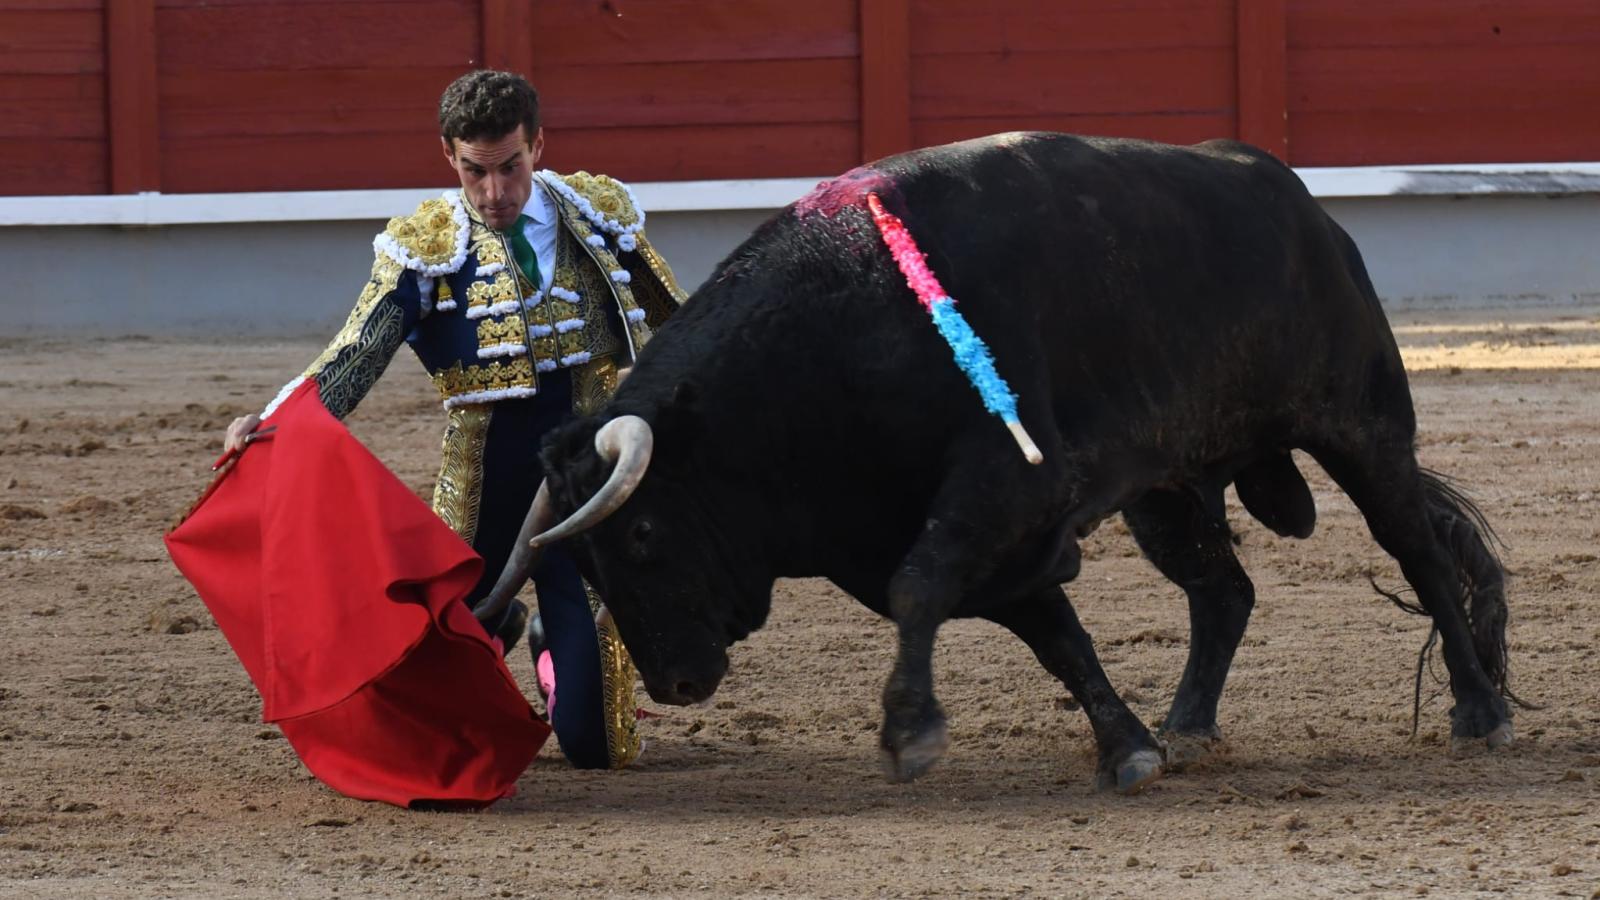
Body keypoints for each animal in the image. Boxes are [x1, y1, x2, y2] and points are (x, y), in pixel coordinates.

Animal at [473, 129, 1510, 787]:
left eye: (645, 533)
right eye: (586, 562)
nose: (676, 685)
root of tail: (1304, 207)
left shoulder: (1008, 484)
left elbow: (922, 588)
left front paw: (910, 734)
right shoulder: (964, 532)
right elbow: (1051, 632)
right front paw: (1130, 747)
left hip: (1360, 427)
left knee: (1418, 551)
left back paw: (1480, 713)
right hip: (1168, 489)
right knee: (1224, 590)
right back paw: (1188, 727)